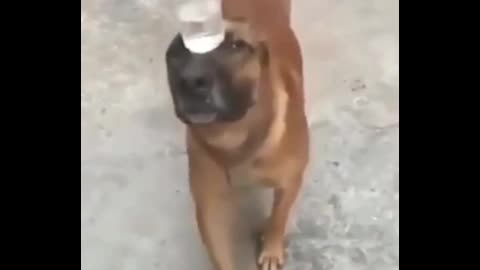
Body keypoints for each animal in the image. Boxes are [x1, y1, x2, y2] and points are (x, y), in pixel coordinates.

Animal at [165, 1, 308, 268]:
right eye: (176, 53)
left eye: (236, 46)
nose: (191, 80)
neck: (234, 136)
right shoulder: (209, 206)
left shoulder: (290, 181)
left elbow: (278, 217)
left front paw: (271, 249)